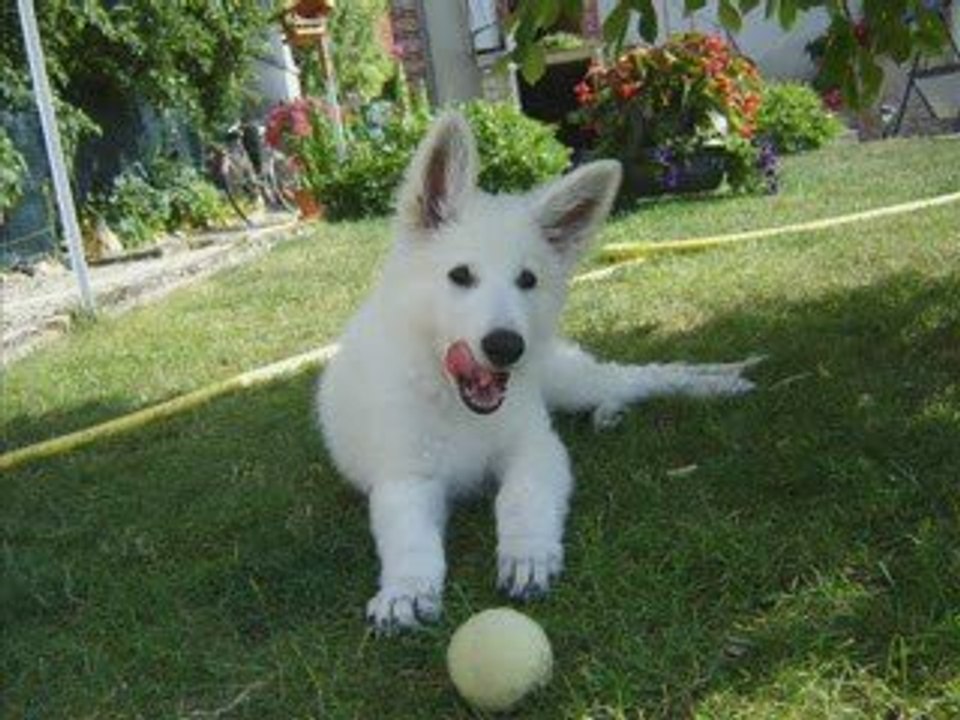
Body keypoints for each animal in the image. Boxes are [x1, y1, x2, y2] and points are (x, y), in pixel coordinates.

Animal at [317, 113, 759, 631]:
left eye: (527, 280)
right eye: (460, 275)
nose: (506, 346)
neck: (454, 400)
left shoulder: (536, 448)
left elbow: (521, 497)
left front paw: (527, 555)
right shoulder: (405, 478)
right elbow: (410, 540)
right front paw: (405, 592)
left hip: (568, 381)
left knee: (644, 375)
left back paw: (720, 381)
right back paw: (613, 414)